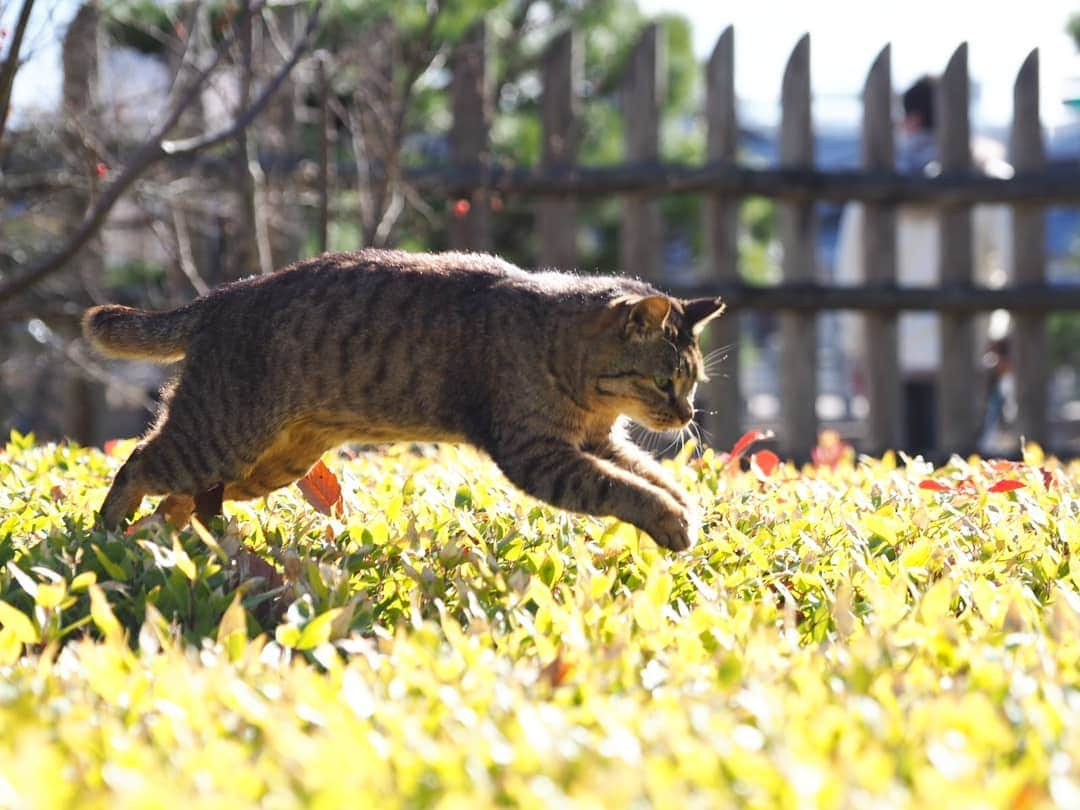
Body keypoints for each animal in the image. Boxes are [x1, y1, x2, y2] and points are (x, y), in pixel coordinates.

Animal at [86, 249, 725, 552]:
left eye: (692, 382)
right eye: (666, 381)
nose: (688, 415)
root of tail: (219, 295)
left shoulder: (597, 441)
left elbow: (651, 474)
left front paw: (685, 510)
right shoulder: (540, 453)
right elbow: (621, 488)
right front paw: (670, 520)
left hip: (264, 465)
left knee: (185, 501)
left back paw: (169, 541)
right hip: (218, 438)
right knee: (138, 462)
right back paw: (105, 534)